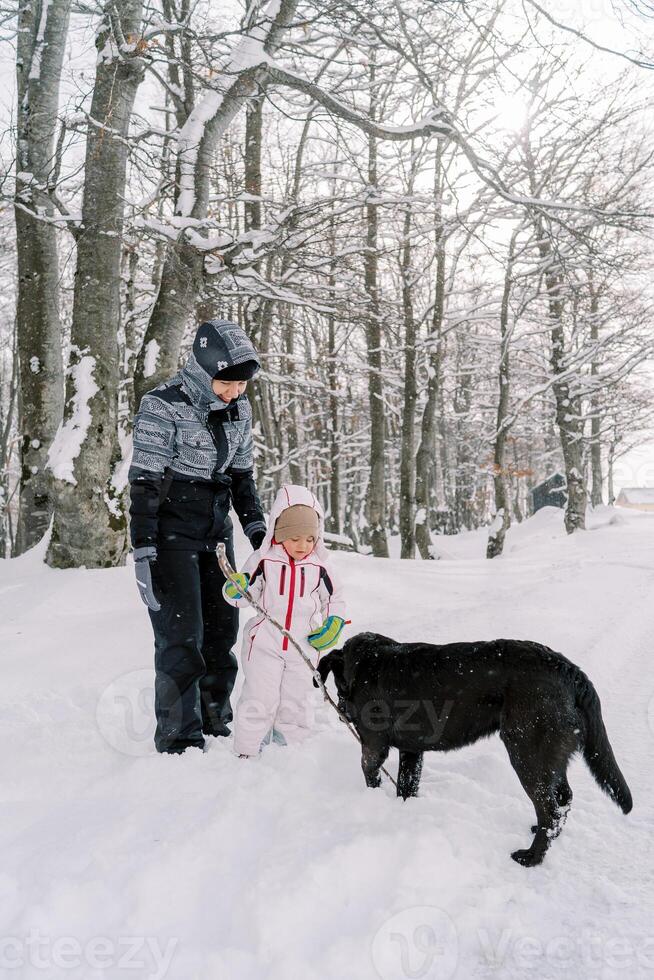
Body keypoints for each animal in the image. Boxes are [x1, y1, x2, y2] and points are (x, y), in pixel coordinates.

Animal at [318, 628, 636, 864]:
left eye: (338, 684)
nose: (341, 710)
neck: (366, 662)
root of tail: (570, 671)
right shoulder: (412, 750)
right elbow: (406, 786)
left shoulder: (373, 747)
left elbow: (371, 777)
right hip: (549, 756)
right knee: (563, 798)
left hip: (527, 751)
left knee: (549, 806)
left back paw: (531, 857)